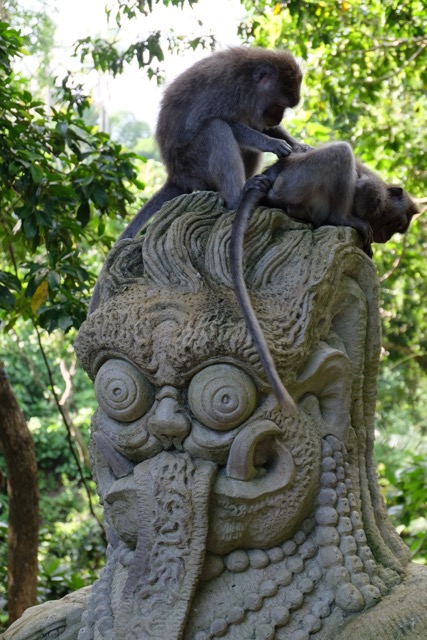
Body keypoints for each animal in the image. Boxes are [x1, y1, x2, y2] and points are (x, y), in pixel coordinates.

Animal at [88, 46, 305, 314]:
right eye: (279, 105)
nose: (277, 120)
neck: (250, 81)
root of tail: (176, 175)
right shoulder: (230, 92)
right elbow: (230, 124)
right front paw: (272, 142)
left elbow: (254, 126)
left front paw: (297, 145)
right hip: (195, 165)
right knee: (216, 128)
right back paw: (237, 198)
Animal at [230, 141, 417, 408]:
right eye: (396, 225)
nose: (386, 237)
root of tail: (275, 171)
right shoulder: (374, 194)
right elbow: (362, 188)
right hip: (298, 179)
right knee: (341, 152)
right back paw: (339, 218)